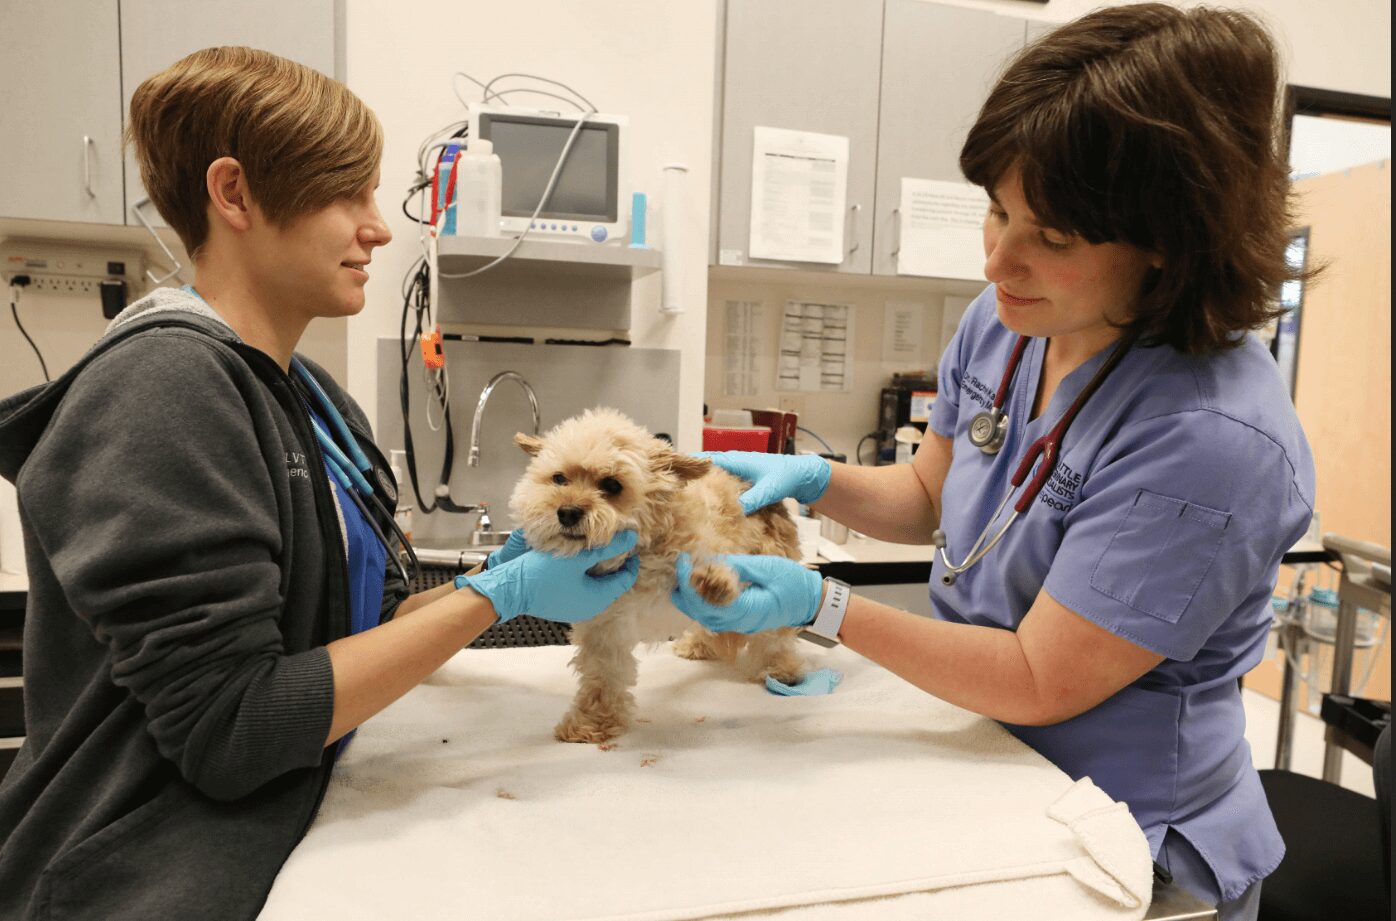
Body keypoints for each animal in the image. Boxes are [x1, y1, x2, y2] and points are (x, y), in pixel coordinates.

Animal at [510, 407, 798, 742]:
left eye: (612, 485)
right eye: (559, 478)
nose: (567, 512)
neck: (638, 555)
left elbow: (707, 563)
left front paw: (712, 581)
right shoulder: (604, 625)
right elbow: (602, 677)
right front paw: (592, 722)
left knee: (775, 634)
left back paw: (780, 670)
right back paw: (699, 645)